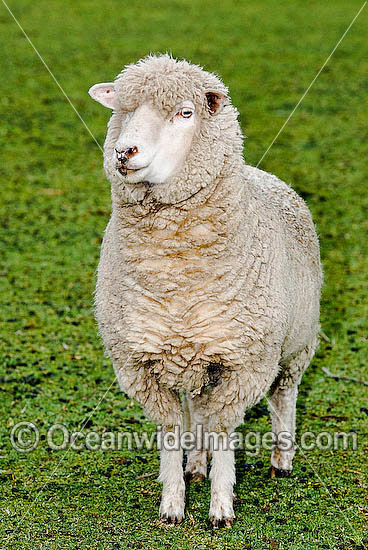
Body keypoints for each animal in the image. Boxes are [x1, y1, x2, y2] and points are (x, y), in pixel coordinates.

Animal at [88, 54, 322, 528]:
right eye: (122, 110)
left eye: (185, 113)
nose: (124, 152)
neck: (177, 277)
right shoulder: (139, 363)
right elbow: (173, 430)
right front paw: (173, 502)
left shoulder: (245, 362)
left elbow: (223, 428)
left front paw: (221, 506)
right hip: (194, 359)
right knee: (197, 410)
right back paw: (196, 466)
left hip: (295, 348)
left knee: (283, 398)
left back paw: (282, 461)